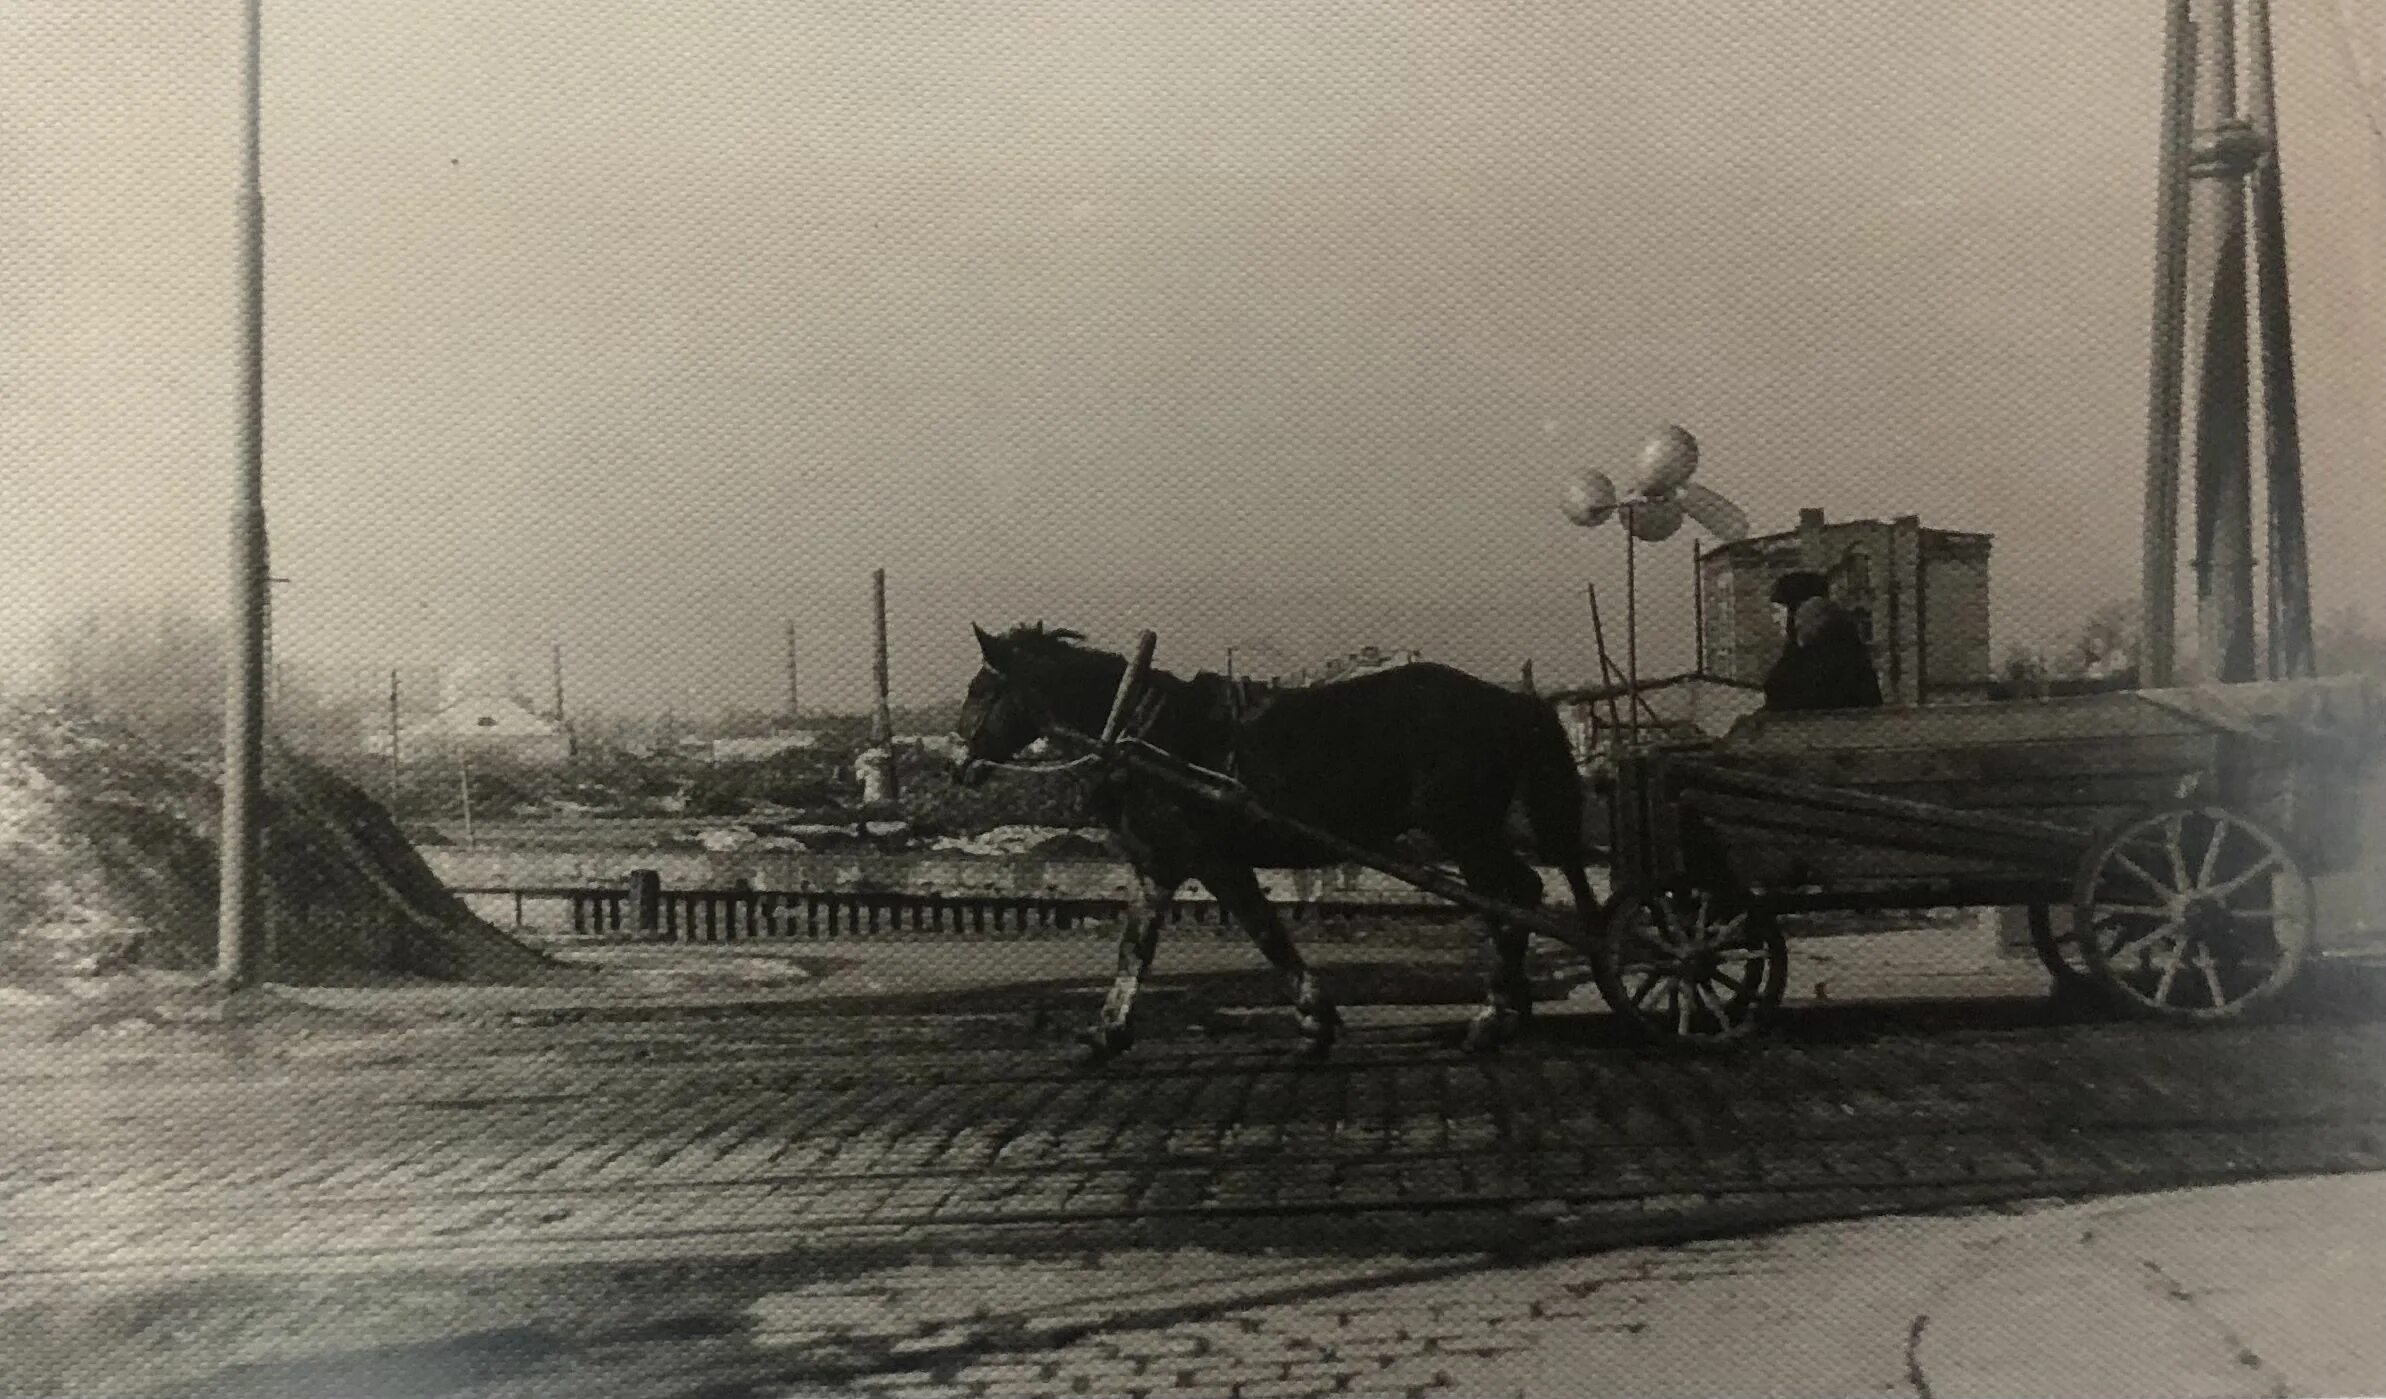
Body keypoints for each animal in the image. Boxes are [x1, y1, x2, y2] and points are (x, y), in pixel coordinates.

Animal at [954, 620, 1603, 1055]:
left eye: (982, 688)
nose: (960, 766)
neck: (1138, 732)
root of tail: (1511, 702)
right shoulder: (1158, 863)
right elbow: (1135, 945)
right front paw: (1107, 1031)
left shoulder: (1215, 859)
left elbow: (1267, 933)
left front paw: (1316, 1018)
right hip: (1471, 832)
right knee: (1515, 895)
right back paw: (1512, 1006)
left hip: (1463, 828)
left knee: (1511, 896)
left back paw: (1494, 1013)